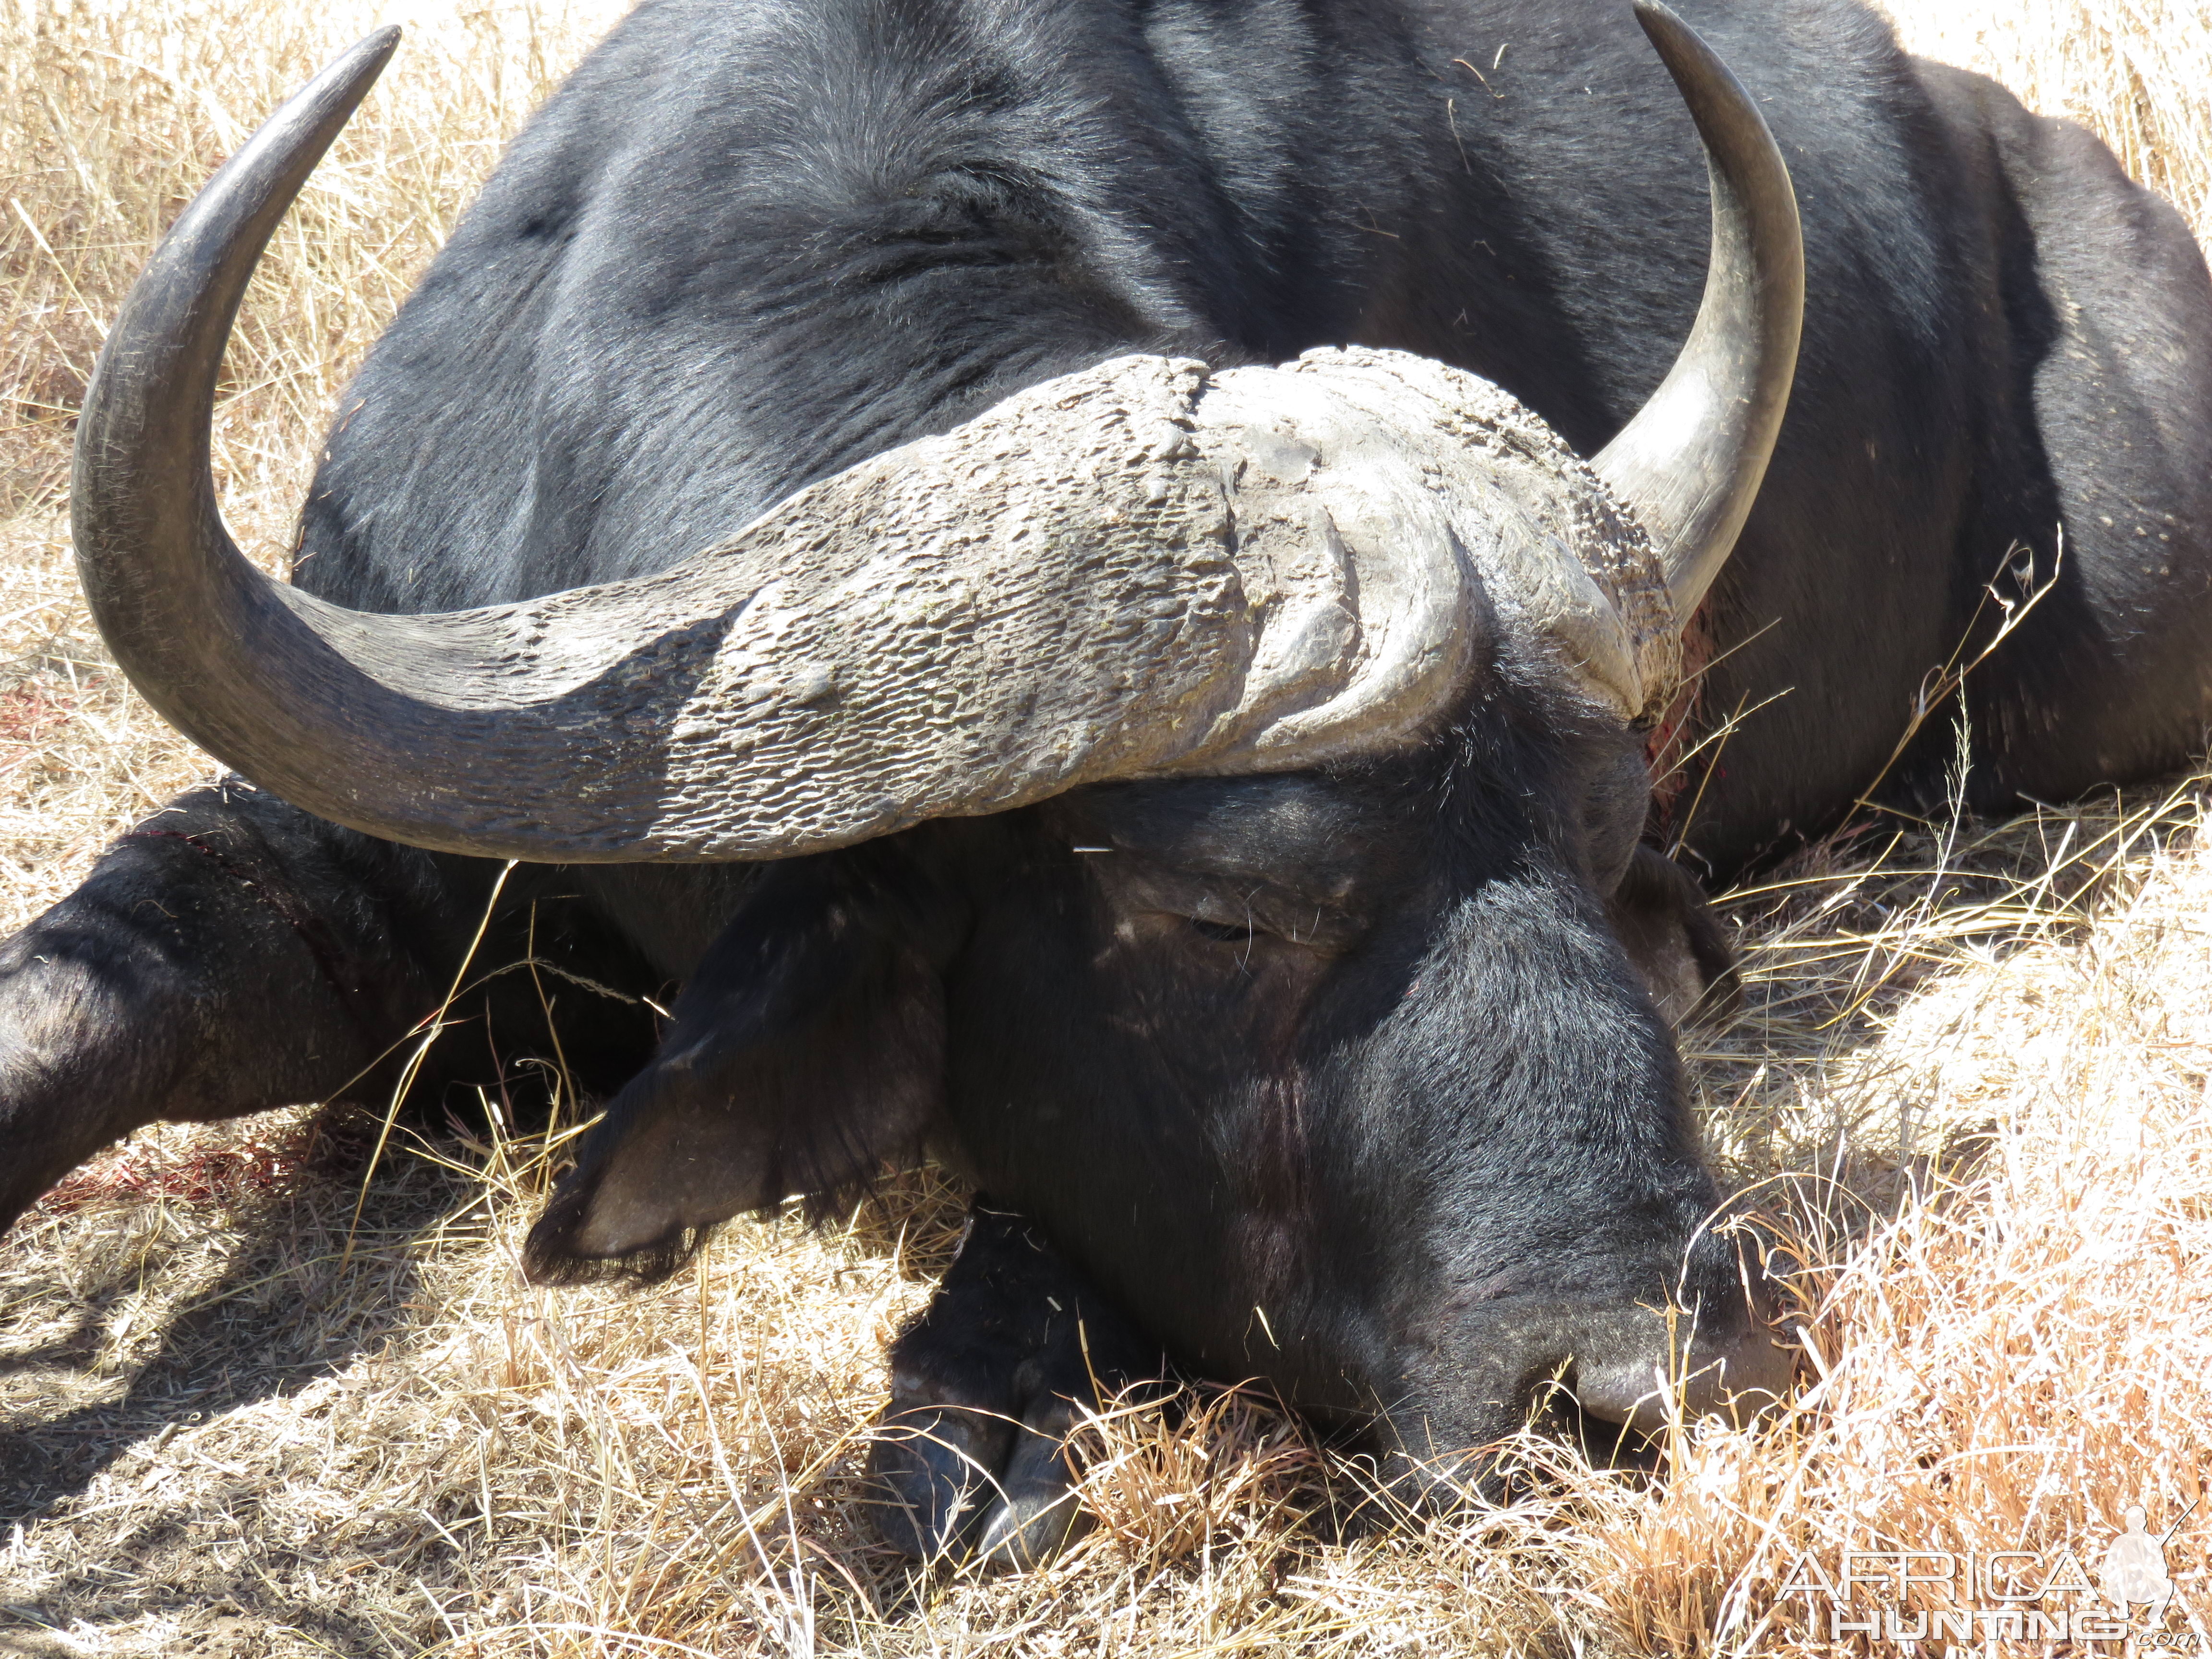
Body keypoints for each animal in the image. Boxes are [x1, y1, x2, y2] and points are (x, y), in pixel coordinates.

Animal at [4, 0, 2212, 1575]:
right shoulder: (367, 834)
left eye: (1605, 862)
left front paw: (974, 1421)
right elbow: (93, 998)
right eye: (1212, 915)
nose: (1638, 1380)